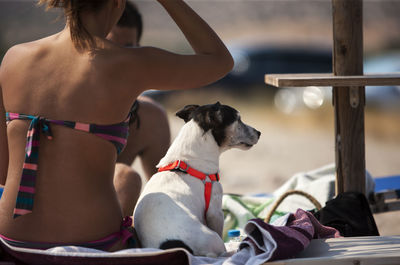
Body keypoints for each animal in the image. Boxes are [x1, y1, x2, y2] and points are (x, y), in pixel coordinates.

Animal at [133, 101, 260, 256]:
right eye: (238, 119)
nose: (259, 133)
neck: (187, 160)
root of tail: (177, 247)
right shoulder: (215, 210)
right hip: (213, 237)